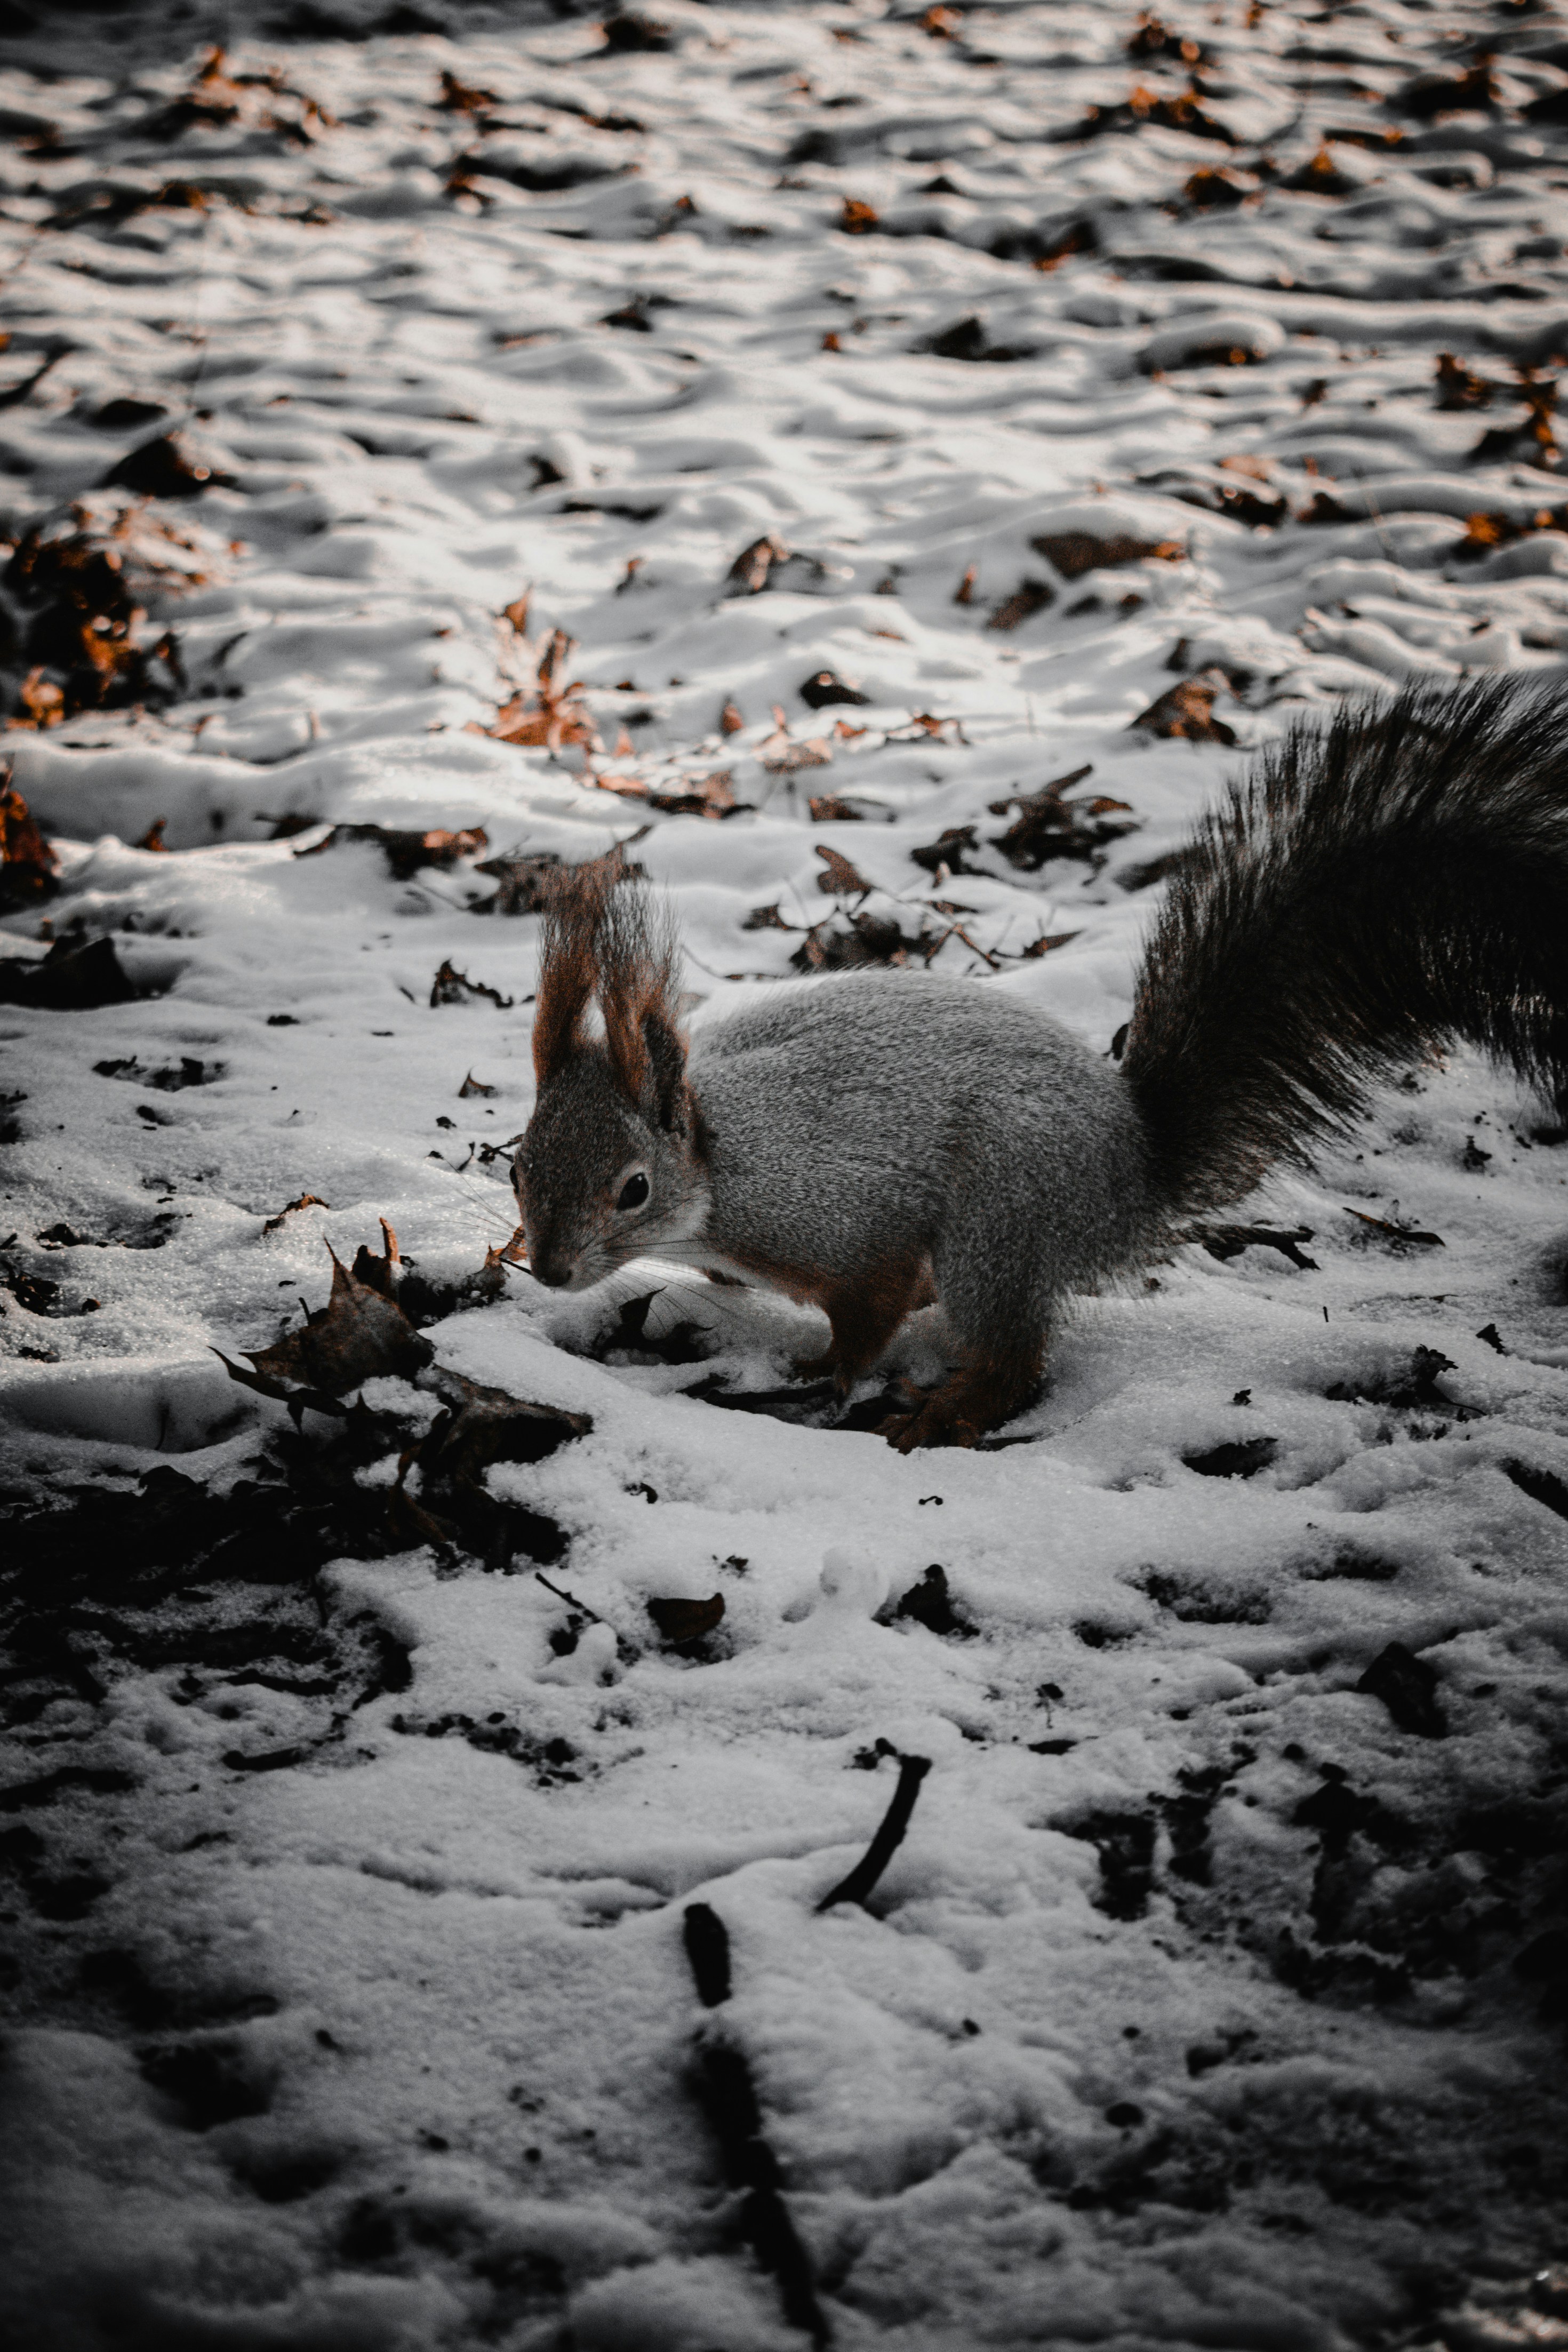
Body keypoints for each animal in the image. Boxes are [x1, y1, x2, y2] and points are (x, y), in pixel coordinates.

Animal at [512, 676, 1568, 1450]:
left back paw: (946, 1414)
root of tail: (1134, 1171)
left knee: (1015, 1354)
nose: (550, 1269)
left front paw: (829, 1373)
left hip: (1001, 1216)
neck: (725, 1167)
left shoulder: (848, 1221)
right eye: (517, 1164)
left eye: (634, 1189)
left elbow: (871, 1310)